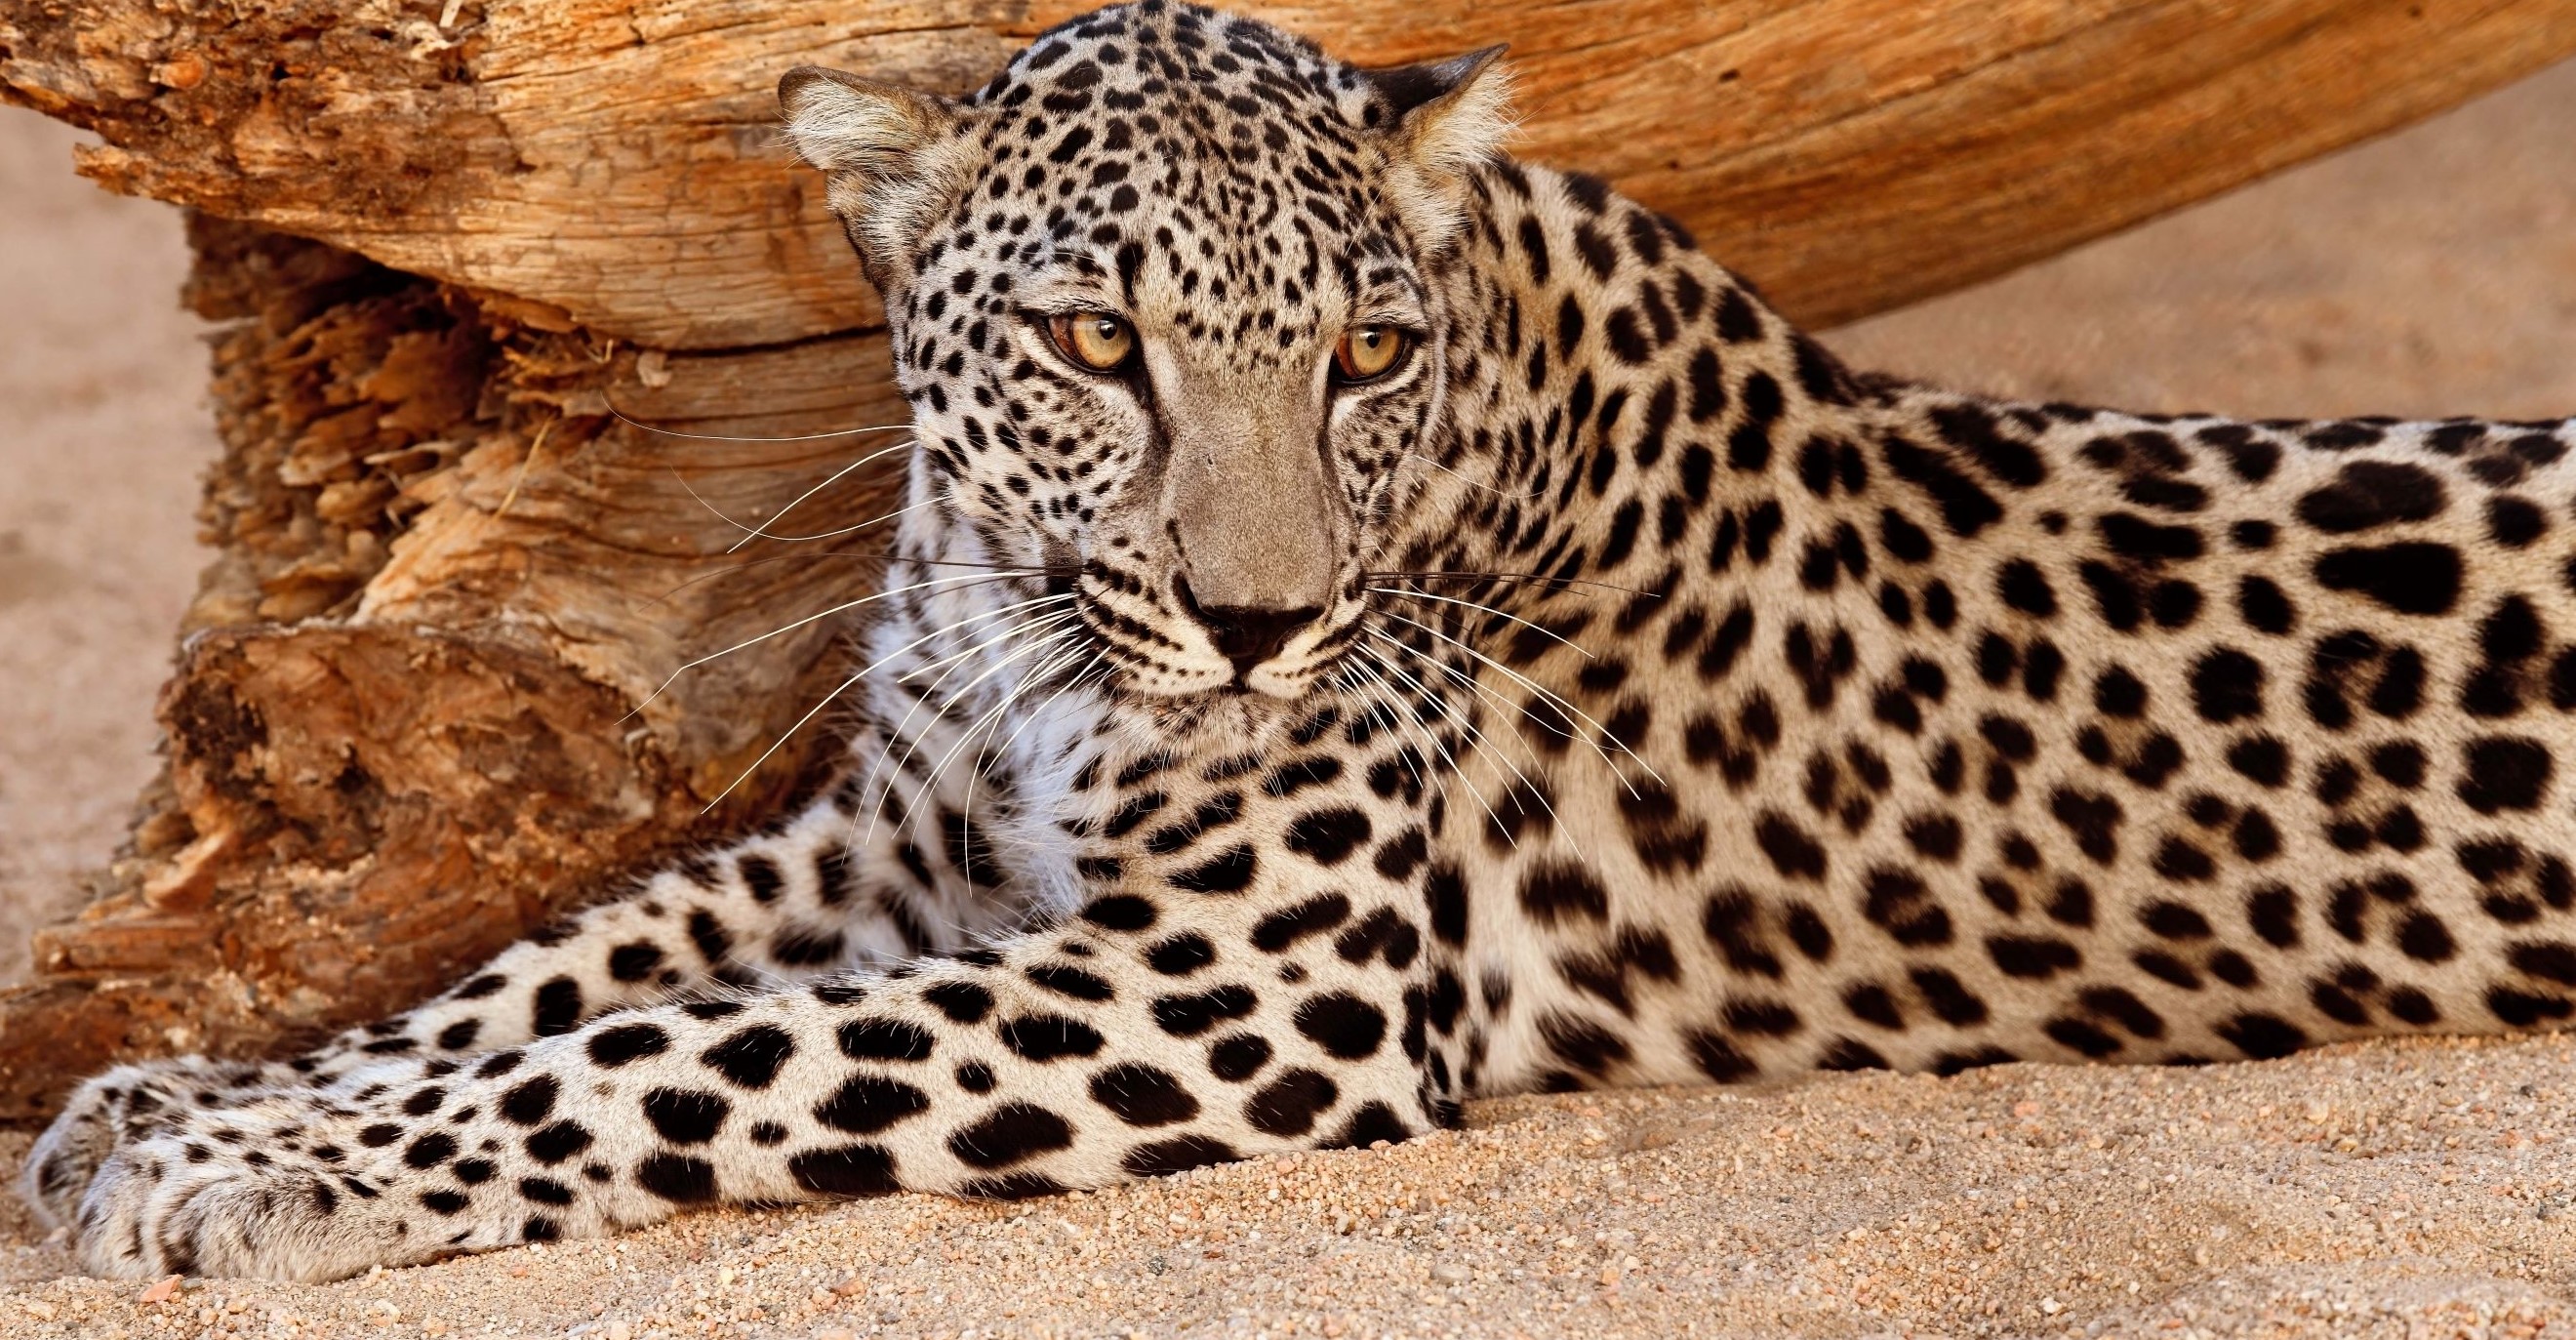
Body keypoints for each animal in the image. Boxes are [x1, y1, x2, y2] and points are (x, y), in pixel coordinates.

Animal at [26, 0, 2576, 1284]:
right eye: (1093, 339)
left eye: (1360, 352)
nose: (1257, 628)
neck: (1018, 612)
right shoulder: (889, 841)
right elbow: (565, 961)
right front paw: (191, 1096)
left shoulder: (1255, 986)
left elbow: (686, 1050)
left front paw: (264, 1173)